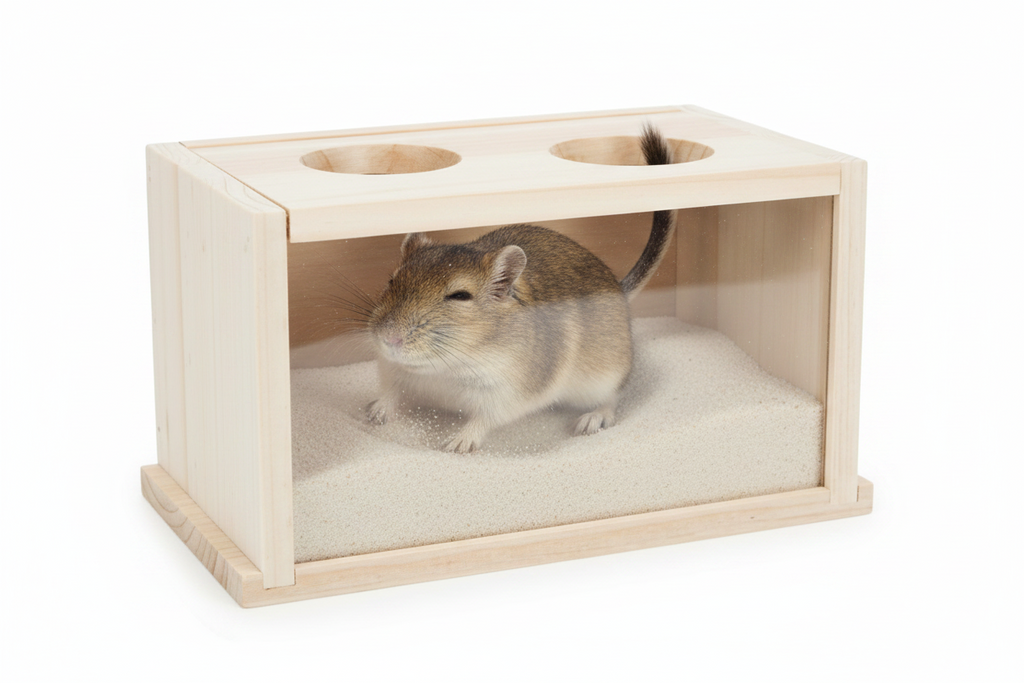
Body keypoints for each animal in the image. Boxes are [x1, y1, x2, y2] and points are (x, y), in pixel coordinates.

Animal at [366, 124, 676, 453]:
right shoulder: (392, 371)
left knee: (611, 401)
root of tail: (619, 289)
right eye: (392, 280)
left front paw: (456, 444)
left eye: (460, 296)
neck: (447, 366)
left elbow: (482, 421)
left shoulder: (506, 394)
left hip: (604, 378)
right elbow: (391, 395)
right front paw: (372, 413)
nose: (389, 338)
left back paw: (589, 421)